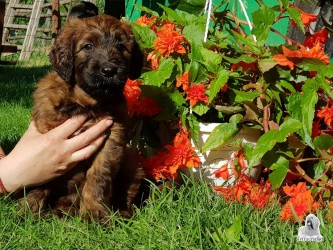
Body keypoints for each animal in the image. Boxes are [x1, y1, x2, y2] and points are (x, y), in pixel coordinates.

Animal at [19, 14, 144, 223]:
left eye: (121, 47)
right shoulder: (48, 134)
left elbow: (98, 177)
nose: (109, 70)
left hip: (133, 165)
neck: (85, 103)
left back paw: (121, 213)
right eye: (88, 46)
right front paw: (29, 208)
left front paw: (94, 213)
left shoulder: (111, 138)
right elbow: (41, 176)